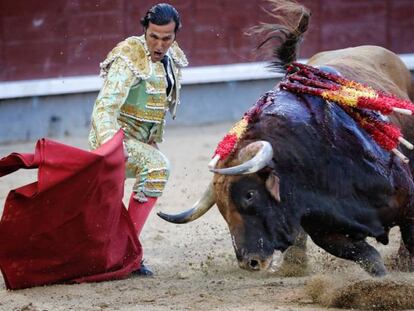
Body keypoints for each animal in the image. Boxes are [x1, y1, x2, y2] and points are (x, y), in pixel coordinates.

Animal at [158, 0, 414, 278]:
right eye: (222, 208)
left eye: (249, 195)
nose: (250, 262)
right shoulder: (327, 231)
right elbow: (371, 260)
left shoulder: (408, 201)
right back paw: (294, 266)